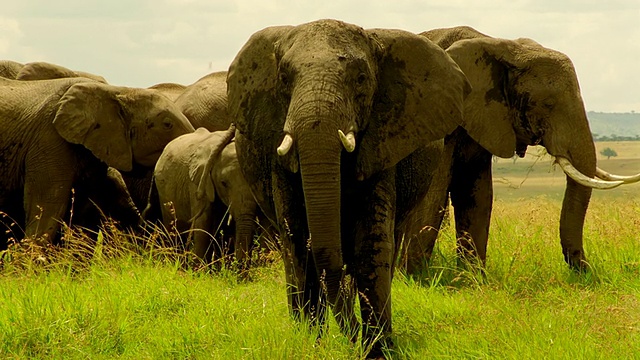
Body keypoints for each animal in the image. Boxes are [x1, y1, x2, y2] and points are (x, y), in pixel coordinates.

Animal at [146, 125, 262, 268]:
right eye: (223, 183)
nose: (240, 268)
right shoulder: (197, 182)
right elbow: (203, 223)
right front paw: (198, 270)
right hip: (163, 190)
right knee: (173, 227)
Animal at [226, 19, 470, 358]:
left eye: (361, 79)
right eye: (284, 79)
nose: (353, 341)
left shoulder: (381, 143)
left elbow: (369, 243)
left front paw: (378, 350)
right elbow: (297, 239)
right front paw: (310, 344)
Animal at [402, 25, 636, 272]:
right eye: (548, 104)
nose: (586, 270)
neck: (499, 45)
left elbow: (478, 196)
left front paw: (472, 277)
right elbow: (432, 196)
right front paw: (415, 276)